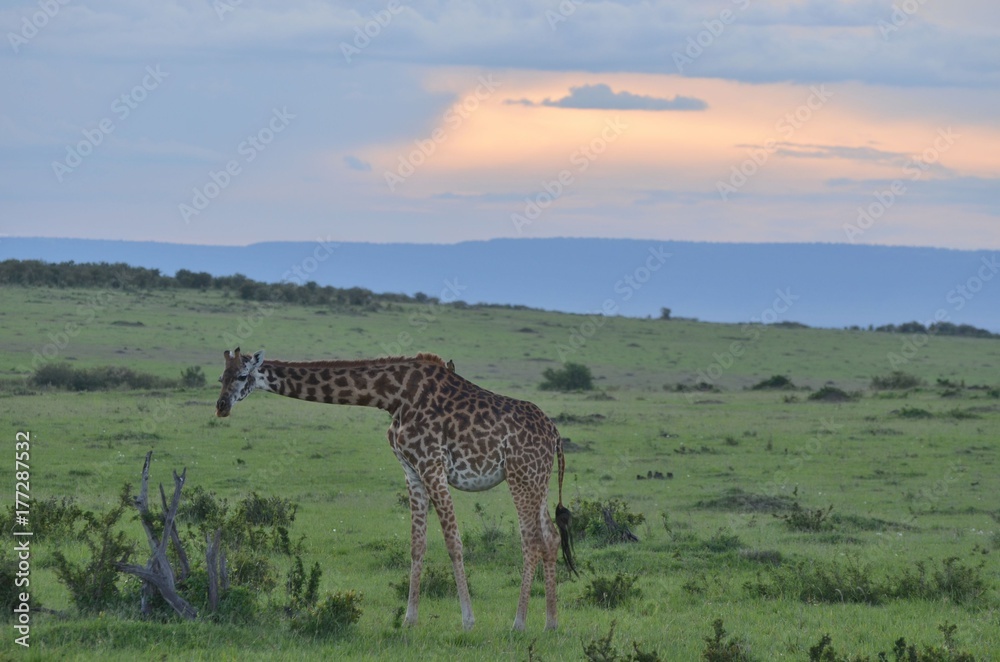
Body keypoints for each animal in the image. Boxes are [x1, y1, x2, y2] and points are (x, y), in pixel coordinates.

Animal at [215, 348, 576, 631]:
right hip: (538, 481)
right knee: (550, 538)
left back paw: (519, 623)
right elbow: (417, 544)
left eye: (243, 375)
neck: (392, 396)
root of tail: (555, 435)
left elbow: (453, 543)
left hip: (520, 476)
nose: (220, 406)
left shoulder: (432, 465)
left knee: (531, 541)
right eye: (221, 376)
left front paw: (468, 620)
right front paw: (409, 619)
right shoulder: (412, 471)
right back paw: (551, 622)